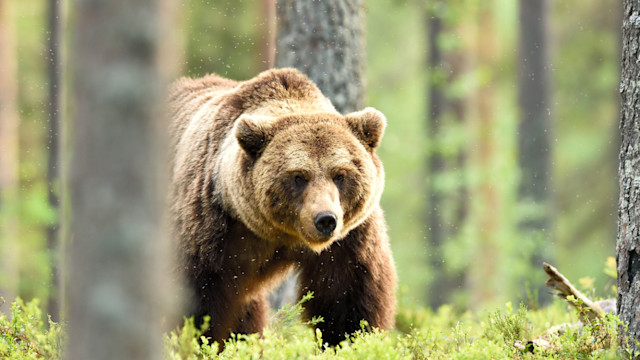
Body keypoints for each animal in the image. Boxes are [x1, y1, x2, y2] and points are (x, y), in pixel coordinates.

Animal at [168, 67, 398, 346]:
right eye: (299, 176)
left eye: (340, 175)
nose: (325, 219)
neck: (281, 235)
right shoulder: (210, 227)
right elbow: (199, 305)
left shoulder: (349, 239)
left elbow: (347, 298)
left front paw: (351, 341)